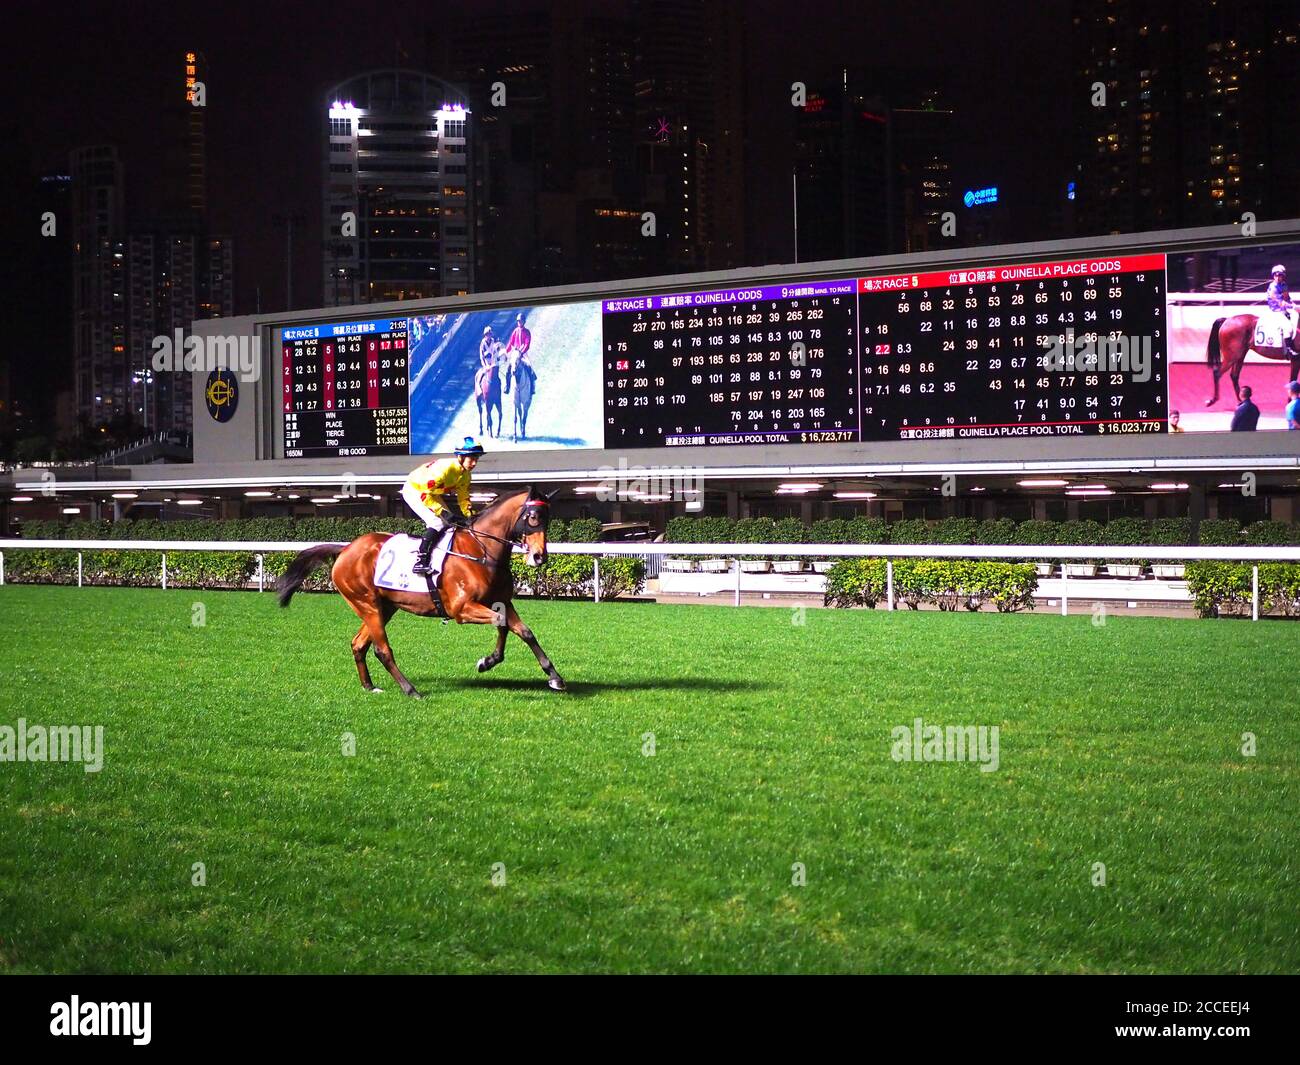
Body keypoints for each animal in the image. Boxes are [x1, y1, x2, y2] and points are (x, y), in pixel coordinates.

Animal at [276, 488, 566, 702]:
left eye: (548, 518)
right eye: (533, 518)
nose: (540, 556)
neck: (481, 551)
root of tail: (346, 549)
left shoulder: (502, 601)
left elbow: (524, 631)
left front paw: (554, 677)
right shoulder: (461, 609)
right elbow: (502, 622)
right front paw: (487, 661)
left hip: (384, 606)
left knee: (359, 644)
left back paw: (370, 686)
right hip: (366, 604)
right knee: (382, 649)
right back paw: (410, 689)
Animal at [405, 300, 603, 455]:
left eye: (519, 360)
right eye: (510, 359)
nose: (513, 371)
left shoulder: (507, 400)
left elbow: (509, 416)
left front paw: (513, 432)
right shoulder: (502, 400)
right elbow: (507, 417)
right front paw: (508, 435)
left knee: (520, 413)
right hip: (479, 400)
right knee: (483, 413)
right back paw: (483, 430)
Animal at [1170, 243, 1300, 434]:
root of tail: (1227, 320)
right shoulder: (1296, 359)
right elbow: (1292, 380)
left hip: (1240, 354)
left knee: (1234, 375)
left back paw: (1241, 400)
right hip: (1232, 355)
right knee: (1218, 372)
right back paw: (1213, 400)